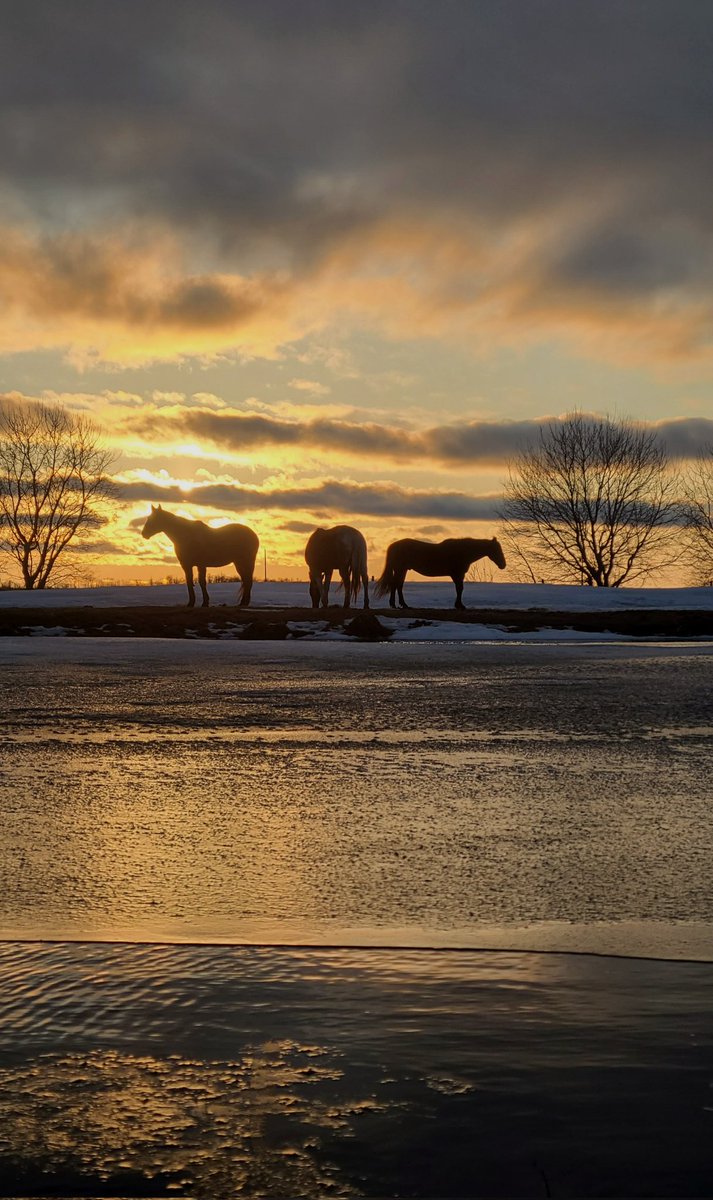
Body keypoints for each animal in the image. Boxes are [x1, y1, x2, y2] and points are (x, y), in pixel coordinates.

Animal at [375, 536, 506, 610]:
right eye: (497, 549)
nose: (503, 565)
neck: (462, 551)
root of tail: (393, 545)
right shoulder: (457, 574)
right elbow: (460, 589)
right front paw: (459, 605)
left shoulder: (458, 575)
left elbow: (459, 589)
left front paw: (458, 605)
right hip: (400, 569)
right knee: (397, 585)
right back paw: (402, 604)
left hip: (402, 569)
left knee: (396, 585)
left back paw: (396, 604)